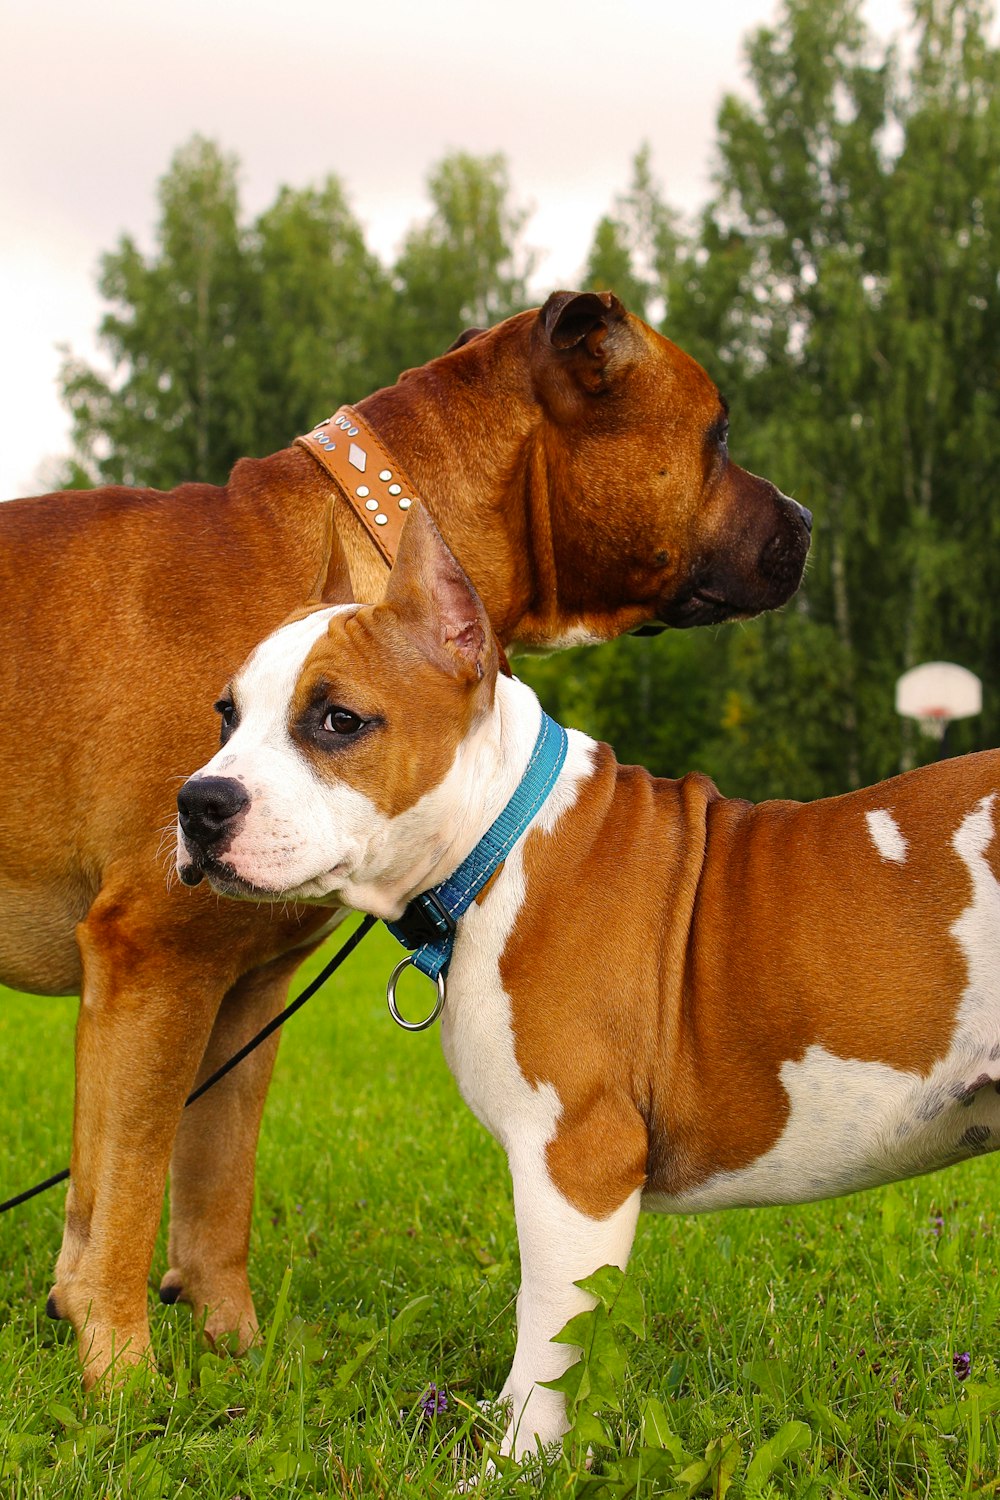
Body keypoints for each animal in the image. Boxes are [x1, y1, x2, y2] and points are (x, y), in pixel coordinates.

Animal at [0, 283, 809, 1380]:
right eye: (717, 432)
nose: (807, 521)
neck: (366, 542)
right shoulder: (153, 966)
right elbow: (122, 1195)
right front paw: (123, 1371)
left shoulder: (242, 995)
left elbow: (205, 1189)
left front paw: (234, 1354)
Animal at [176, 510, 995, 1458]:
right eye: (226, 715)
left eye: (338, 719)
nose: (198, 803)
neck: (497, 841)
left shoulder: (575, 1161)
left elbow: (548, 1342)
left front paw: (516, 1463)